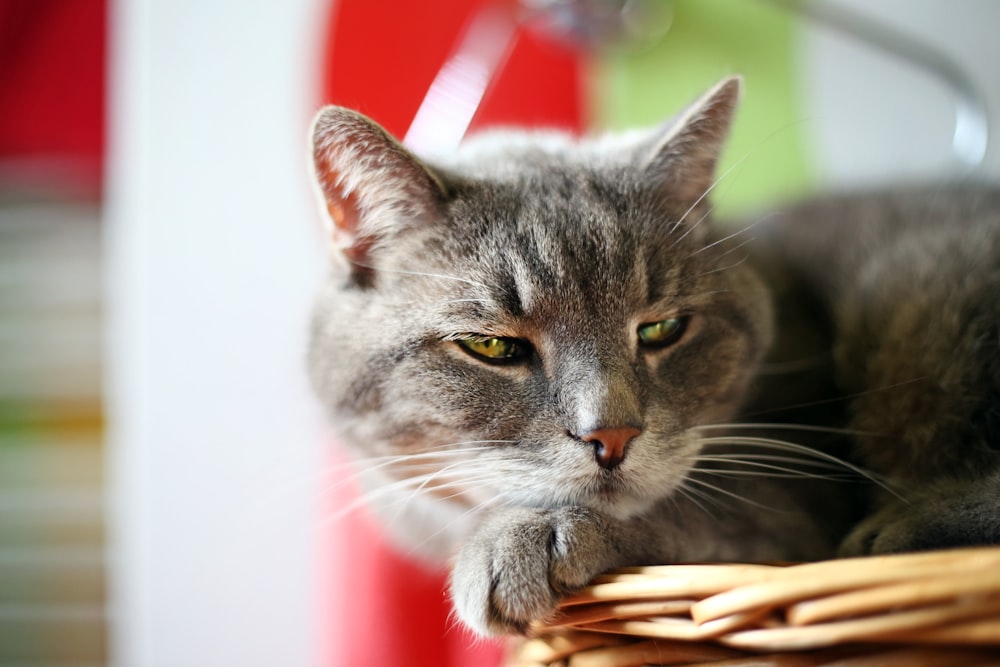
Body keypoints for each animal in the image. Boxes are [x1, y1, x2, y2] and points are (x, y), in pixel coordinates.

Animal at [304, 75, 1000, 640]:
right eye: (493, 346)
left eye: (663, 328)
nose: (612, 434)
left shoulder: (803, 489)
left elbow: (703, 512)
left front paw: (527, 538)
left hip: (917, 291)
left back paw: (897, 529)